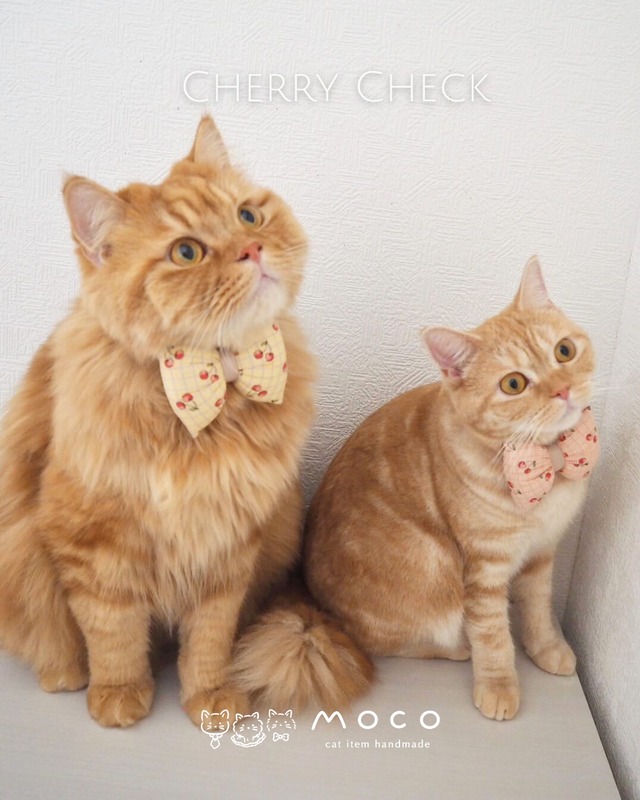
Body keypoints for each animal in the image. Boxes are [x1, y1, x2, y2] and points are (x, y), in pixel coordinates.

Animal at [0, 115, 370, 728]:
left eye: (248, 216)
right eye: (187, 252)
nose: (252, 248)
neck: (211, 384)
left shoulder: (228, 545)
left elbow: (210, 639)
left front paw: (210, 697)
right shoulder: (93, 542)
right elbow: (113, 632)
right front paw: (119, 694)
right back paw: (66, 674)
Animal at [304, 257, 599, 721]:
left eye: (564, 351)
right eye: (514, 384)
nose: (563, 389)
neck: (547, 465)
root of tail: (317, 610)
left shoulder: (541, 555)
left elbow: (537, 609)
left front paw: (546, 648)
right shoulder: (485, 569)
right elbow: (493, 633)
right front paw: (498, 685)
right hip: (433, 565)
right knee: (384, 642)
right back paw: (458, 649)